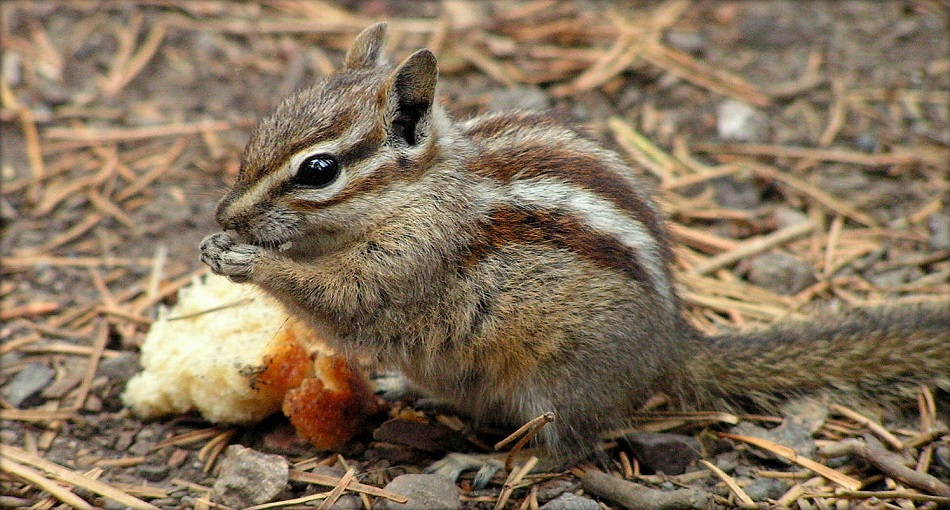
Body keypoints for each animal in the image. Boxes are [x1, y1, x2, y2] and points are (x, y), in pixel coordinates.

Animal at [200, 22, 950, 461]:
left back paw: (508, 463)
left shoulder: (412, 260)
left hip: (560, 381)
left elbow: (340, 298)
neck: (422, 189)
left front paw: (249, 261)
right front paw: (217, 245)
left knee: (566, 445)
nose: (224, 212)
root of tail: (668, 347)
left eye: (318, 170)